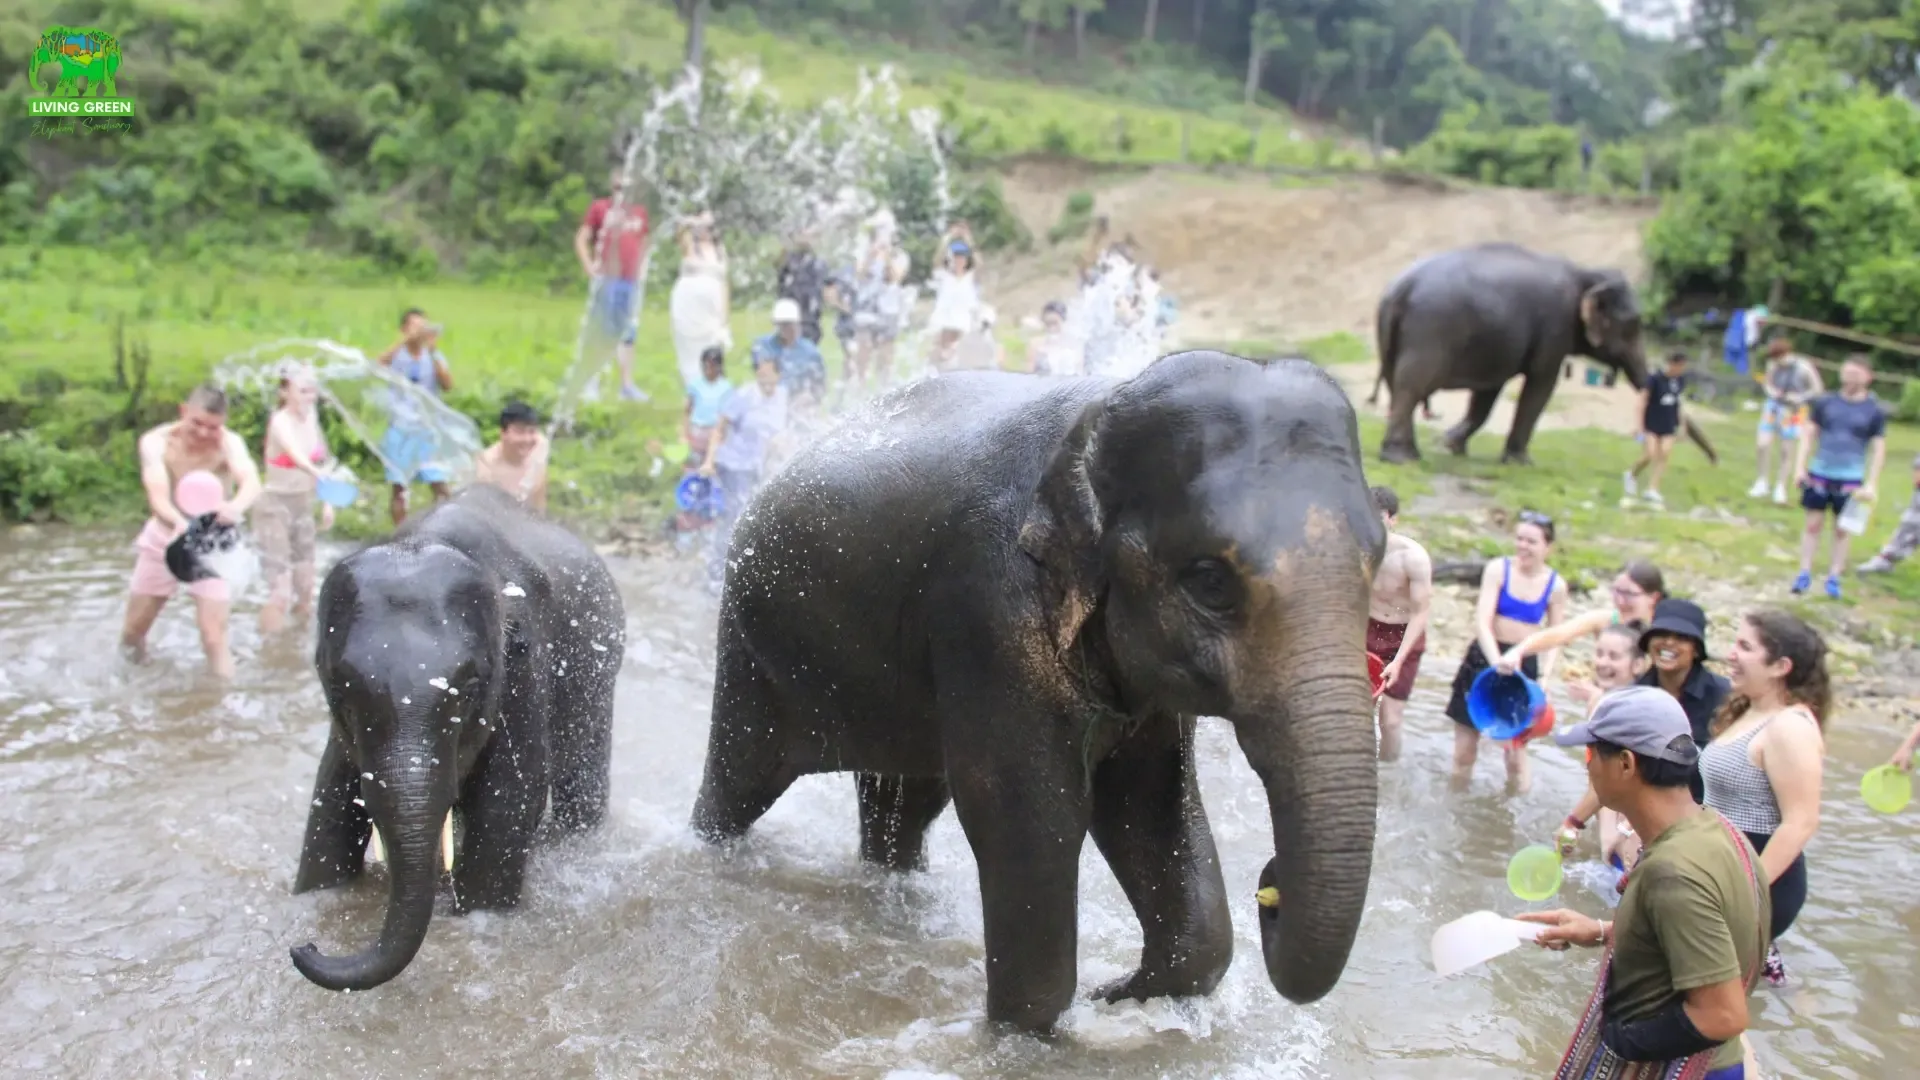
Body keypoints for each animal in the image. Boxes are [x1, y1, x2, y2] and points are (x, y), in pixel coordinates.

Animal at [289, 485, 623, 992]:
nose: (304, 946)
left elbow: (508, 798)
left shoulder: (523, 664)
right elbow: (331, 797)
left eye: (466, 692)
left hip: (599, 677)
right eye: (341, 694)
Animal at [690, 351, 1385, 1035]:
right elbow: (1029, 814)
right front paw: (1030, 1034)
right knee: (740, 782)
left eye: (1375, 566)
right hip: (750, 646)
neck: (1102, 409)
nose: (1270, 887)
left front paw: (1129, 1000)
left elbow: (1149, 804)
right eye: (1211, 581)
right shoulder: (988, 607)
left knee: (906, 806)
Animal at [1374, 242, 1649, 465]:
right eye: (1633, 325)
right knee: (1412, 386)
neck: (1585, 273)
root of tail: (1401, 288)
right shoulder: (1555, 326)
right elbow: (1541, 384)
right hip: (1430, 330)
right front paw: (1522, 463)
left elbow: (1488, 392)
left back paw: (1409, 453)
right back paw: (1401, 458)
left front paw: (1451, 445)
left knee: (1396, 382)